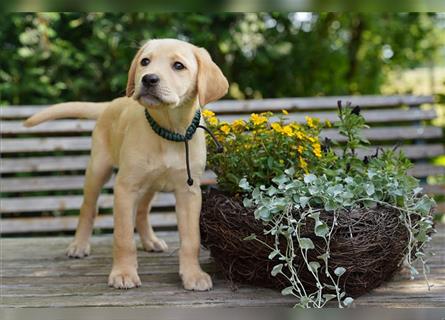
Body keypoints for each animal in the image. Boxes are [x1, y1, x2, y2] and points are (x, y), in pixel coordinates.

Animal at [22, 38, 227, 292]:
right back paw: (79, 245)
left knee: (141, 211)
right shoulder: (125, 188)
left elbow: (191, 239)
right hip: (98, 169)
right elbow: (123, 238)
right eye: (145, 61)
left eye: (178, 66)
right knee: (88, 208)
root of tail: (111, 103)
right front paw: (123, 273)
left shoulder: (189, 192)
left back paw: (150, 241)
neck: (168, 130)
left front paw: (193, 275)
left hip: (150, 184)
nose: (148, 79)